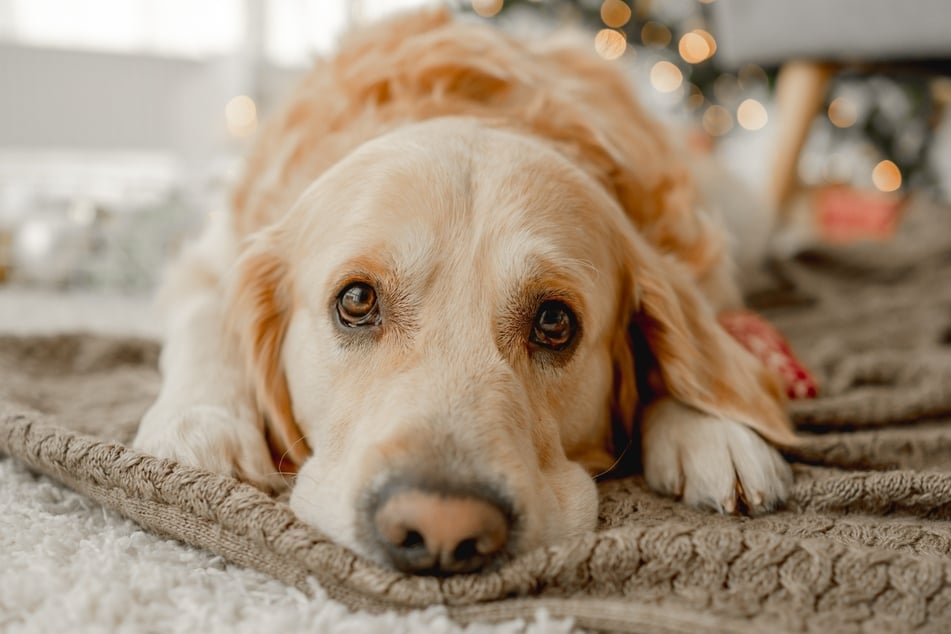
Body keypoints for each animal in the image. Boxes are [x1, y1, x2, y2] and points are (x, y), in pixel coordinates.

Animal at [134, 8, 796, 572]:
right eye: (356, 301)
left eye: (555, 322)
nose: (440, 529)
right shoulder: (208, 258)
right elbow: (206, 321)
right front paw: (200, 428)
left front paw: (711, 431)